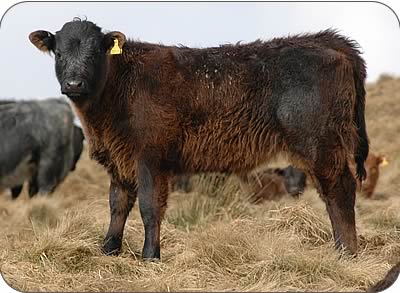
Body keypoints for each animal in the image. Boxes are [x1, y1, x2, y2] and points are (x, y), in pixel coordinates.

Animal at [30, 19, 368, 258]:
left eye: (94, 52)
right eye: (59, 53)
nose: (74, 83)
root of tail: (324, 41)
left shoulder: (150, 157)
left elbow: (150, 207)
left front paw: (150, 256)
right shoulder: (120, 160)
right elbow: (118, 204)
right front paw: (109, 250)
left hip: (321, 144)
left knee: (339, 190)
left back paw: (346, 253)